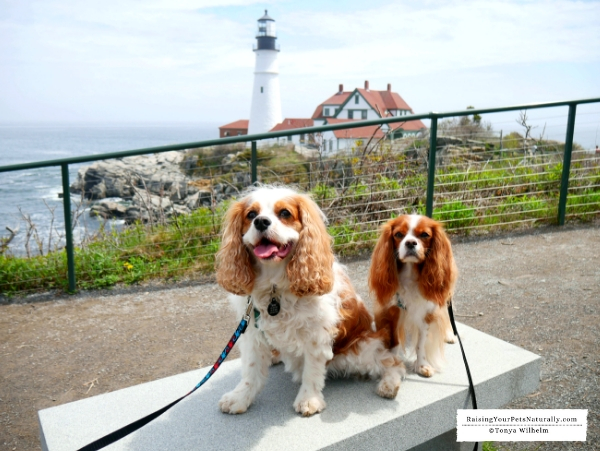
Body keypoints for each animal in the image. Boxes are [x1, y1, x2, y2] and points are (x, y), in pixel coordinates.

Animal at [368, 215, 458, 378]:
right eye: (398, 234)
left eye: (424, 235)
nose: (410, 242)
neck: (409, 273)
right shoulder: (393, 311)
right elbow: (395, 341)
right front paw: (394, 363)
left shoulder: (427, 313)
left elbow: (421, 343)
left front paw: (422, 365)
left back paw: (448, 334)